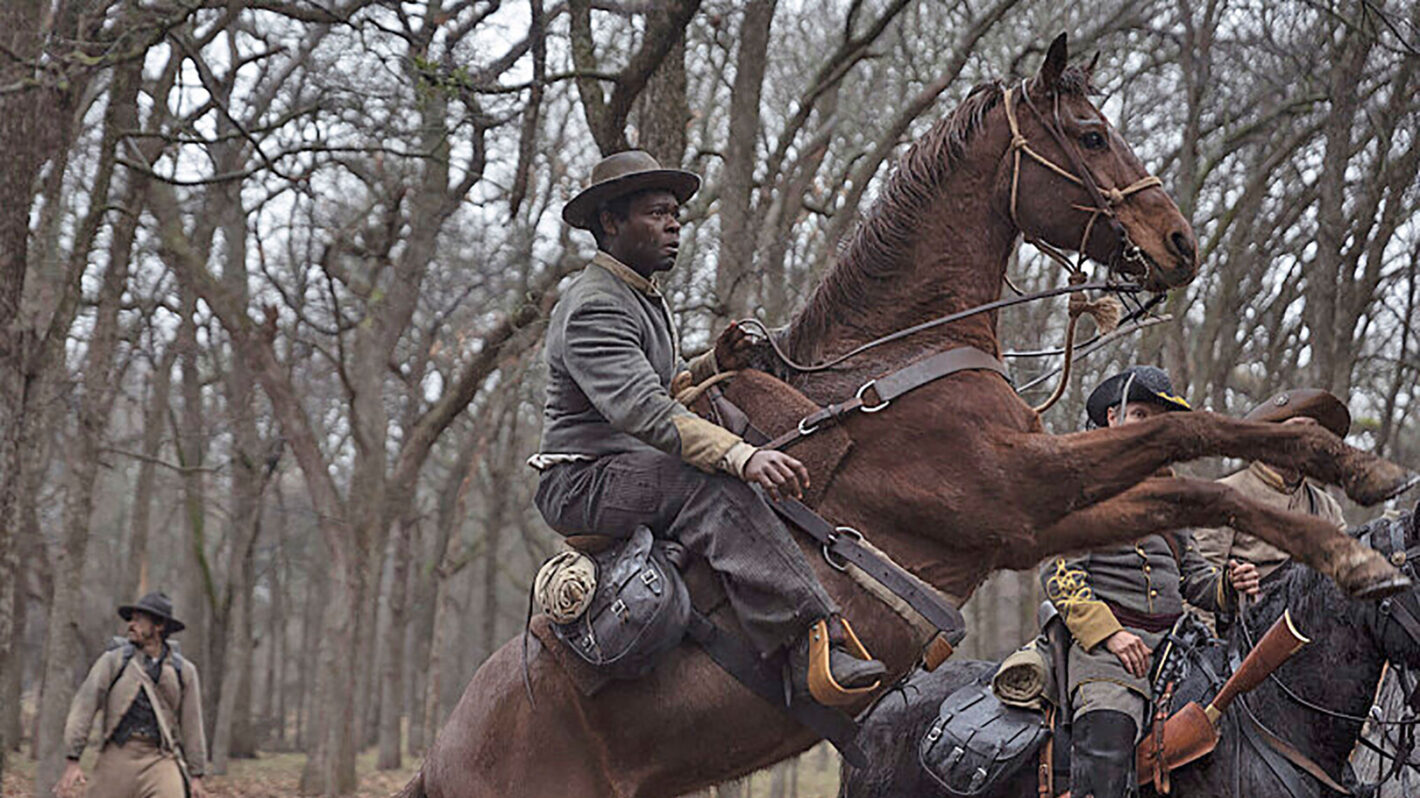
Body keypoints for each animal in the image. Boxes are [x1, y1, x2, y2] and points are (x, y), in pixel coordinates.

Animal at [406, 34, 1414, 789]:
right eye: (1090, 134)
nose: (1178, 241)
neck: (897, 364)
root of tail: (444, 757)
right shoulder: (1015, 493)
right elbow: (1186, 442)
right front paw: (1354, 545)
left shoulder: (1037, 516)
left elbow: (1193, 472)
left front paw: (1348, 469)